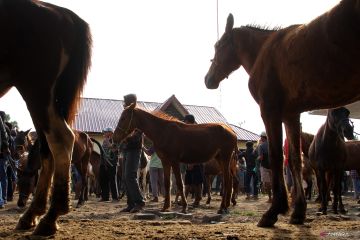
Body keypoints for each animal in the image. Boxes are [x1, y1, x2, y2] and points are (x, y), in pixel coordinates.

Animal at [1, 0, 91, 236]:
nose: (20, 201)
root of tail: (66, 15)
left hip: (37, 92)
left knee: (60, 140)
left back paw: (50, 217)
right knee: (47, 149)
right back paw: (33, 214)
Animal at [205, 0, 360, 227]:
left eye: (218, 46)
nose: (208, 79)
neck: (263, 52)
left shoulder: (270, 111)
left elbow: (277, 156)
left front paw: (274, 210)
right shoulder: (291, 114)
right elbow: (294, 159)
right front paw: (298, 211)